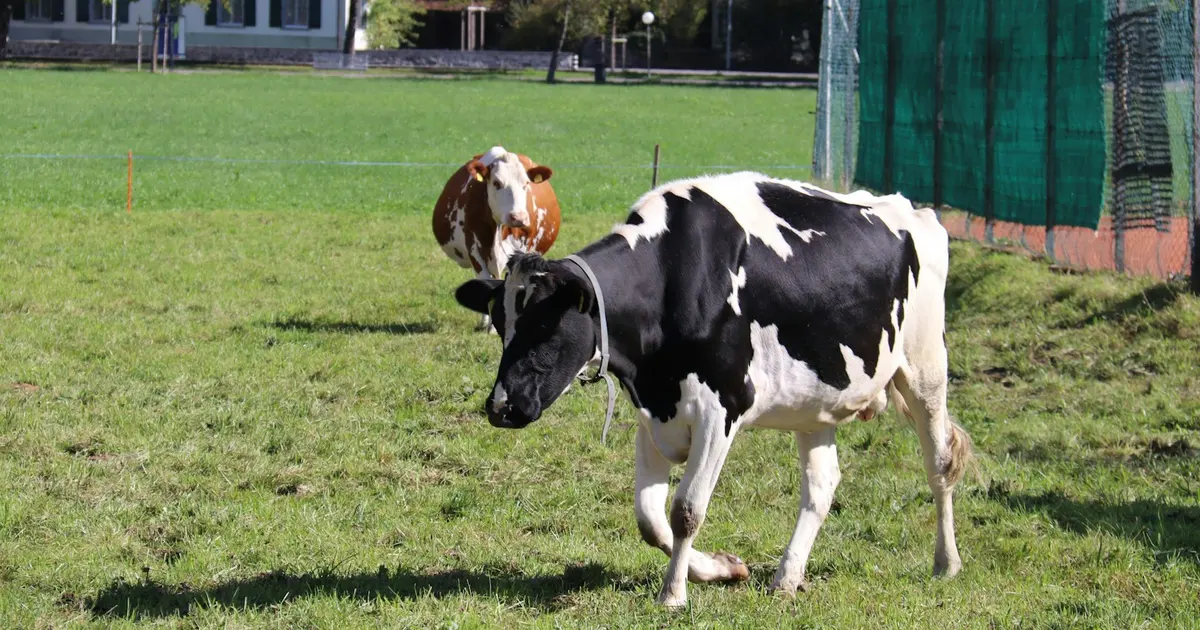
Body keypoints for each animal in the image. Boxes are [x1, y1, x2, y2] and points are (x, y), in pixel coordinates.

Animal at [433, 146, 561, 331]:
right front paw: (491, 325)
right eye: (497, 183)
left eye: (526, 184)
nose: (518, 217)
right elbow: (485, 281)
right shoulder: (475, 249)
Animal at [453, 172, 974, 608]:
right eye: (501, 322)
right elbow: (649, 517)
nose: (500, 406)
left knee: (940, 463)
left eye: (545, 324)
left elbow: (686, 509)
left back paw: (946, 562)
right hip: (816, 401)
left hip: (925, 367)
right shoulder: (653, 412)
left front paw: (673, 594)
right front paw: (720, 569)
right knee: (821, 486)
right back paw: (786, 576)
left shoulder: (720, 409)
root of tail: (912, 209)